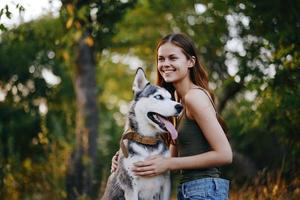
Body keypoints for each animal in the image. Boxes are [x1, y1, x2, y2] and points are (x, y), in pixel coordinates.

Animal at [101, 67, 183, 200]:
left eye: (171, 98)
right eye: (158, 97)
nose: (180, 107)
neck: (147, 140)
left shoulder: (166, 183)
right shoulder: (130, 187)